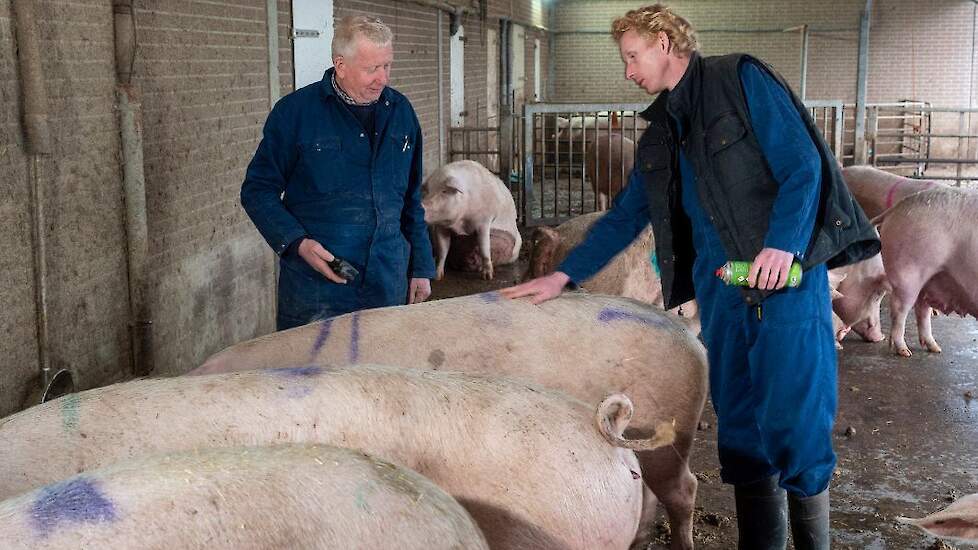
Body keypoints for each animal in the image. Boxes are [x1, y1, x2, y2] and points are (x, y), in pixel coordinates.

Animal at [868, 187, 976, 358]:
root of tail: (895, 209)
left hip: (927, 279)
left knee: (922, 309)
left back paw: (936, 348)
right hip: (907, 274)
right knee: (899, 309)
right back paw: (905, 351)